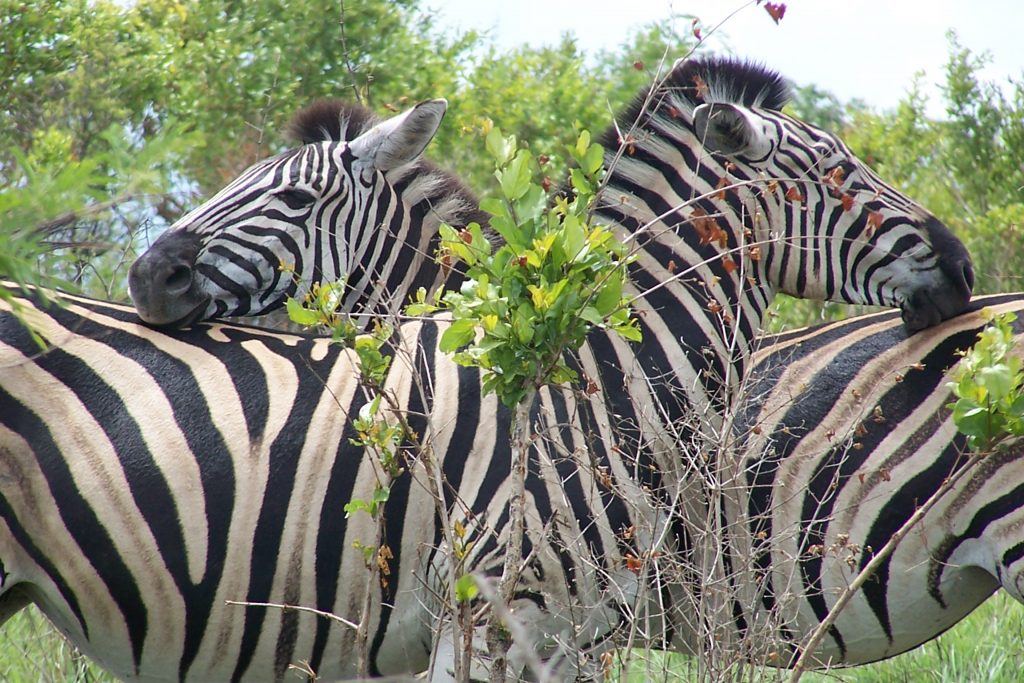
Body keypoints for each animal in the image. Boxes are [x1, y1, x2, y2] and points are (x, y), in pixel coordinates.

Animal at [4, 54, 978, 683]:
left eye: (296, 195)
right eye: (844, 171)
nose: (963, 267)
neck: (597, 378)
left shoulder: (537, 630)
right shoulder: (484, 619)